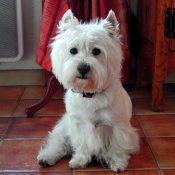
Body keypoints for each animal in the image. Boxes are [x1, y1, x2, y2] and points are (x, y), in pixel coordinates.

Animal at [37, 9, 139, 172]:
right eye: (73, 50)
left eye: (96, 51)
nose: (83, 68)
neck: (90, 94)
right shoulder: (78, 125)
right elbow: (82, 144)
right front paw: (80, 160)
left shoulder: (117, 126)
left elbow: (116, 146)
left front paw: (117, 163)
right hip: (64, 126)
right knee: (59, 142)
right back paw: (47, 158)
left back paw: (104, 159)